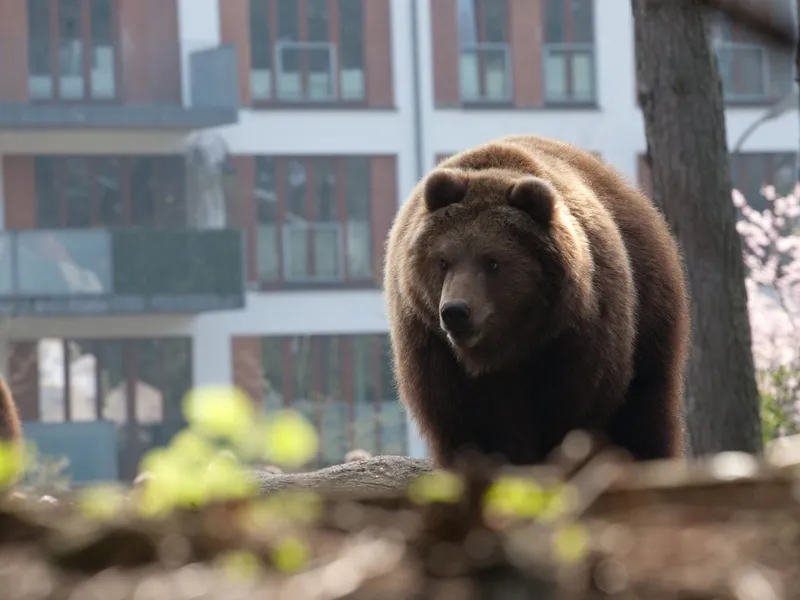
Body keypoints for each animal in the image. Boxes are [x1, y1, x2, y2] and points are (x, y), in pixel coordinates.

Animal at [384, 134, 692, 466]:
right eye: (443, 261)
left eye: (492, 262)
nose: (455, 311)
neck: (505, 349)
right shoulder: (434, 350)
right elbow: (468, 426)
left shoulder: (574, 341)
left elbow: (568, 416)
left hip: (649, 321)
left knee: (645, 410)